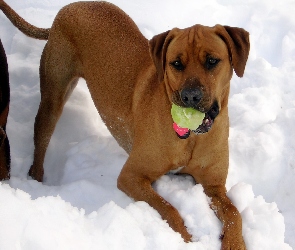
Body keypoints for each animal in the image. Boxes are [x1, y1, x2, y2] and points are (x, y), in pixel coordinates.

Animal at [0, 1, 250, 248]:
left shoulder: (213, 186)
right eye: (176, 63)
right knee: (41, 139)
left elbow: (234, 213)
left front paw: (235, 243)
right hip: (54, 95)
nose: (190, 97)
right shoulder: (132, 176)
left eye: (212, 61)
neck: (192, 138)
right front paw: (186, 238)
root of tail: (68, 8)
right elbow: (169, 209)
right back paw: (36, 178)